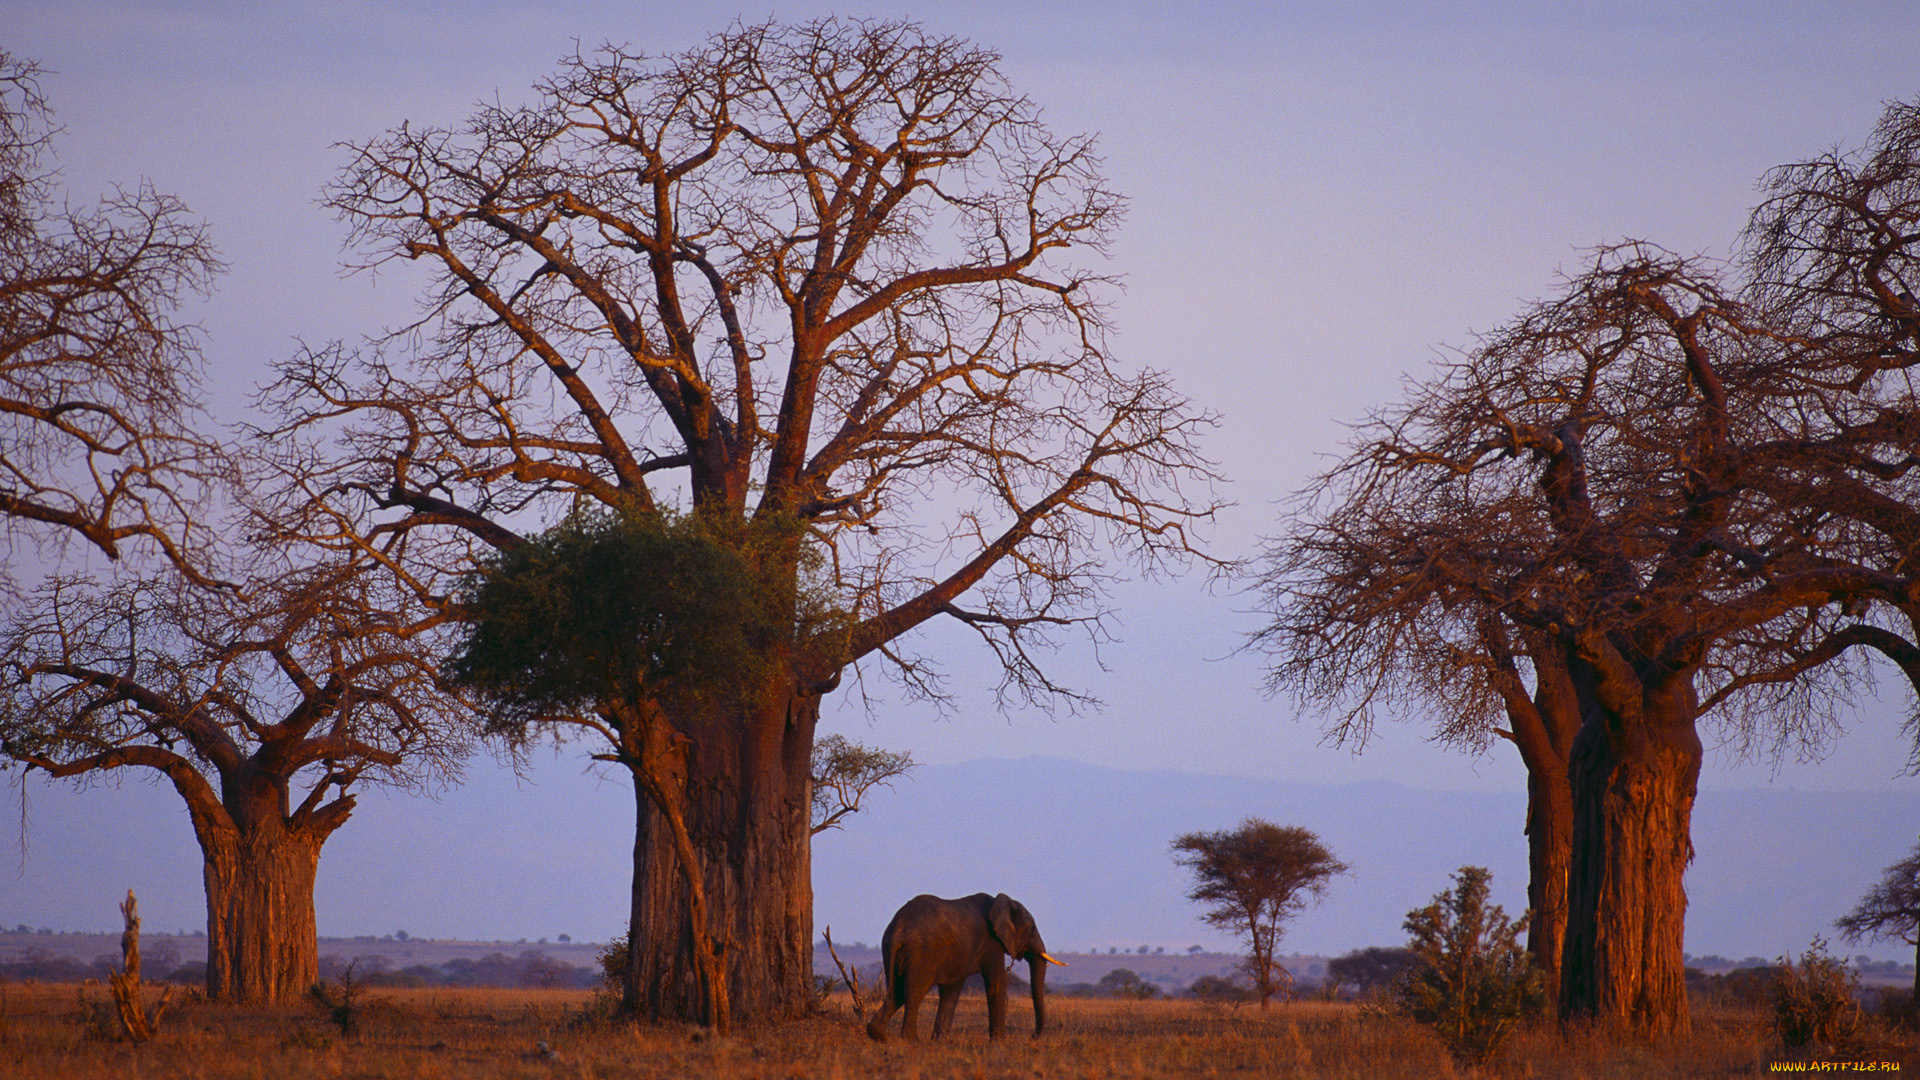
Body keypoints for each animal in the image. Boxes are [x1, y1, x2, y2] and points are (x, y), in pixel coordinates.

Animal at [867, 887, 1067, 1037]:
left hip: (891, 951)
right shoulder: (991, 942)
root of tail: (898, 929)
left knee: (896, 991)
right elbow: (996, 984)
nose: (1033, 1036)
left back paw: (878, 1035)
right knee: (914, 992)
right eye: (1032, 928)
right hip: (920, 954)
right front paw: (999, 1043)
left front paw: (939, 1042)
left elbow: (952, 991)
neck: (1001, 902)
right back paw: (910, 1040)